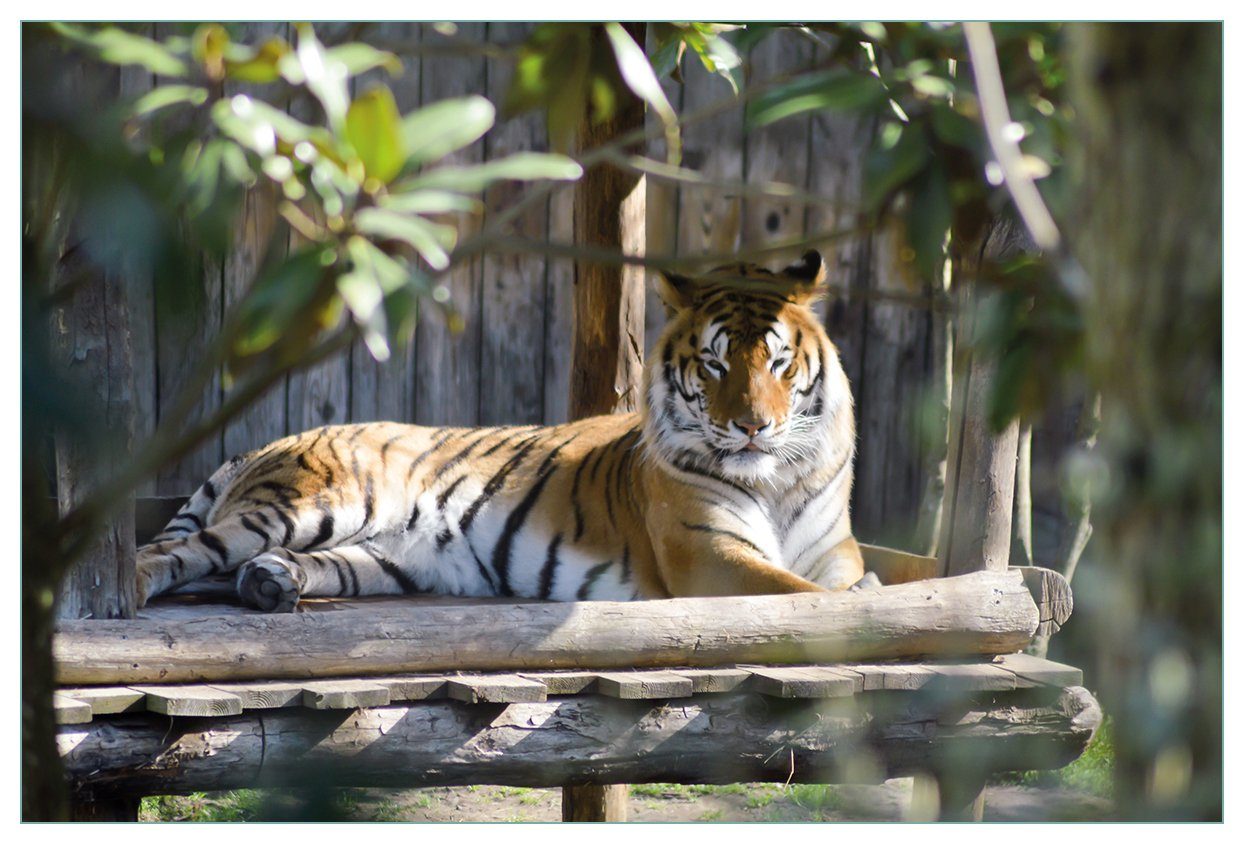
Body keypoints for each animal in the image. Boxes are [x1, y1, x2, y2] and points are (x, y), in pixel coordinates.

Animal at [136, 251, 865, 614]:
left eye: (777, 362)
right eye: (714, 365)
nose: (752, 427)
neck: (777, 479)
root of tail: (263, 446)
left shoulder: (838, 553)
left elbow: (856, 588)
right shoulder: (709, 555)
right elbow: (807, 599)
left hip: (385, 558)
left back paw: (270, 583)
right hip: (313, 504)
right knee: (171, 554)